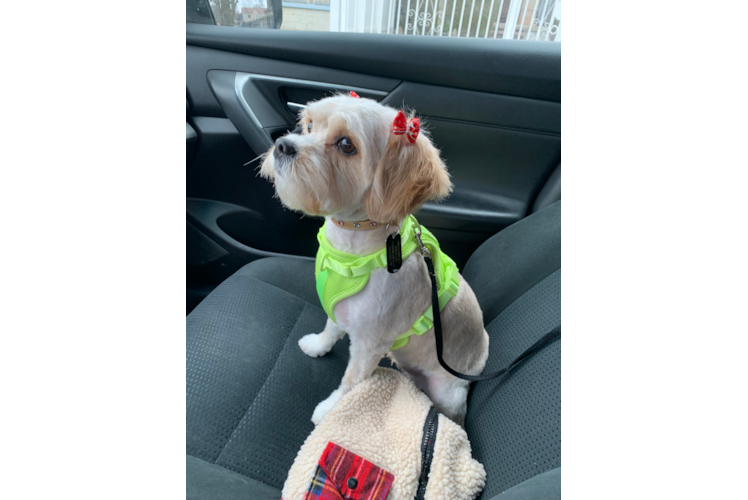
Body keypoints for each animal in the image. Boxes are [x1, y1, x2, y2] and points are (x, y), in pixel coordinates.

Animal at [260, 91, 488, 426]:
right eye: (310, 125)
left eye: (346, 144)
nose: (282, 145)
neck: (353, 247)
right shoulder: (340, 308)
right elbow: (331, 329)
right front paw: (318, 345)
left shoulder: (370, 343)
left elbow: (351, 382)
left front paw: (331, 410)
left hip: (449, 393)